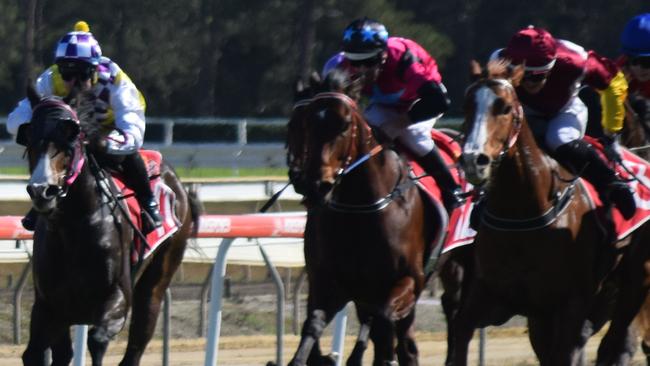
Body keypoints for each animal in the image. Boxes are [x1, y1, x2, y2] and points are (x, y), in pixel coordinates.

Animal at [20, 86, 199, 366]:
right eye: (29, 138)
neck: (74, 227)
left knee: (136, 342)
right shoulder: (49, 306)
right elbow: (35, 353)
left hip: (156, 282)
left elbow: (97, 339)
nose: (42, 191)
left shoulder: (117, 298)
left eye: (70, 139)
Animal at [284, 70, 446, 364]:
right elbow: (312, 326)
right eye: (299, 124)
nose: (313, 183)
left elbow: (383, 325)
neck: (362, 207)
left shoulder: (409, 279)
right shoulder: (331, 281)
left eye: (344, 124)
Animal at [450, 60, 650, 366]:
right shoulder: (491, 296)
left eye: (504, 107)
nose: (474, 160)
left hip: (635, 281)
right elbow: (460, 333)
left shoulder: (571, 305)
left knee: (618, 343)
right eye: (466, 105)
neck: (522, 211)